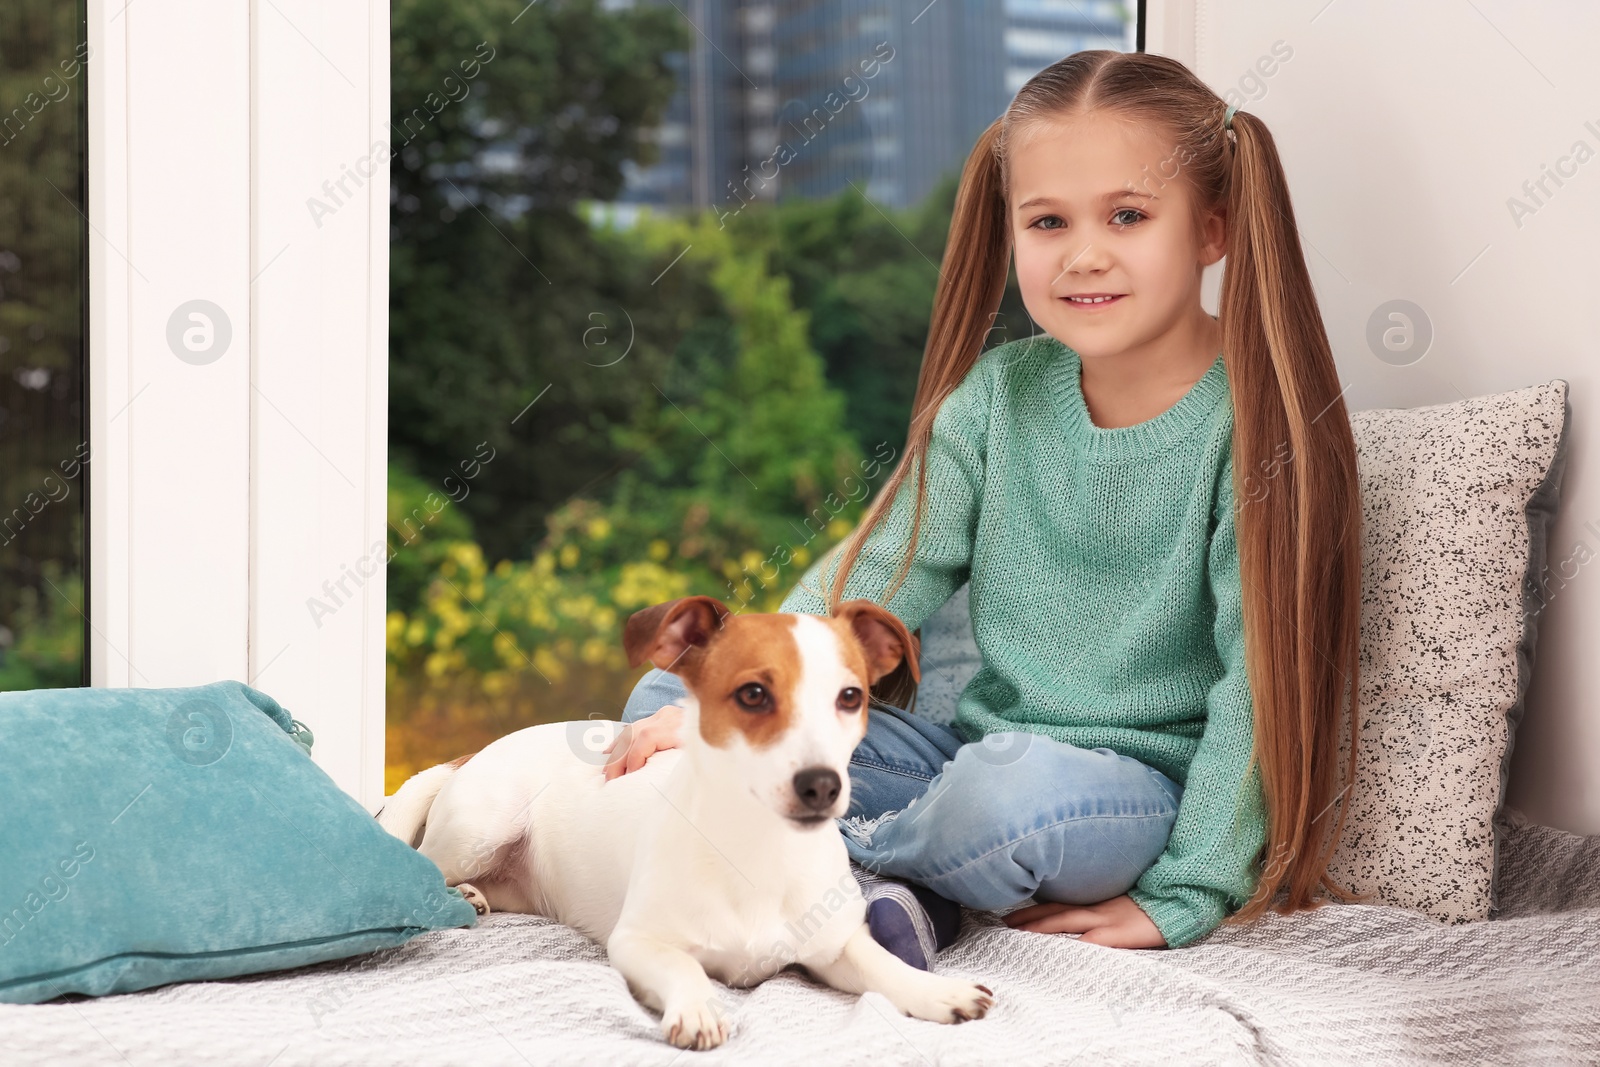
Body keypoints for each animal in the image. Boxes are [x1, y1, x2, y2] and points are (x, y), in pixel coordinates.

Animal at [379, 598, 992, 1055]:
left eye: (851, 697)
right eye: (753, 693)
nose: (822, 784)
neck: (757, 849)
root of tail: (475, 751)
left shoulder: (836, 947)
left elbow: (884, 966)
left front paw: (937, 991)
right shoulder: (637, 944)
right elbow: (683, 966)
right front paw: (697, 1006)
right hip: (478, 829)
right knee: (427, 862)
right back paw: (453, 894)